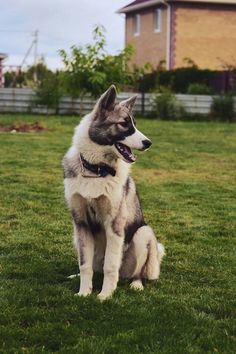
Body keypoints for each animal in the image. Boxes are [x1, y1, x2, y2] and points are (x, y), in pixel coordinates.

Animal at [63, 84, 165, 300]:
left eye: (134, 124)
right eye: (124, 124)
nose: (148, 143)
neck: (96, 171)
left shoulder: (114, 225)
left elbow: (111, 267)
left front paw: (105, 295)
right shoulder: (81, 224)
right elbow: (84, 265)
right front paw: (84, 292)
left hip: (143, 234)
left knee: (134, 273)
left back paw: (136, 284)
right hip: (76, 236)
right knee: (94, 268)